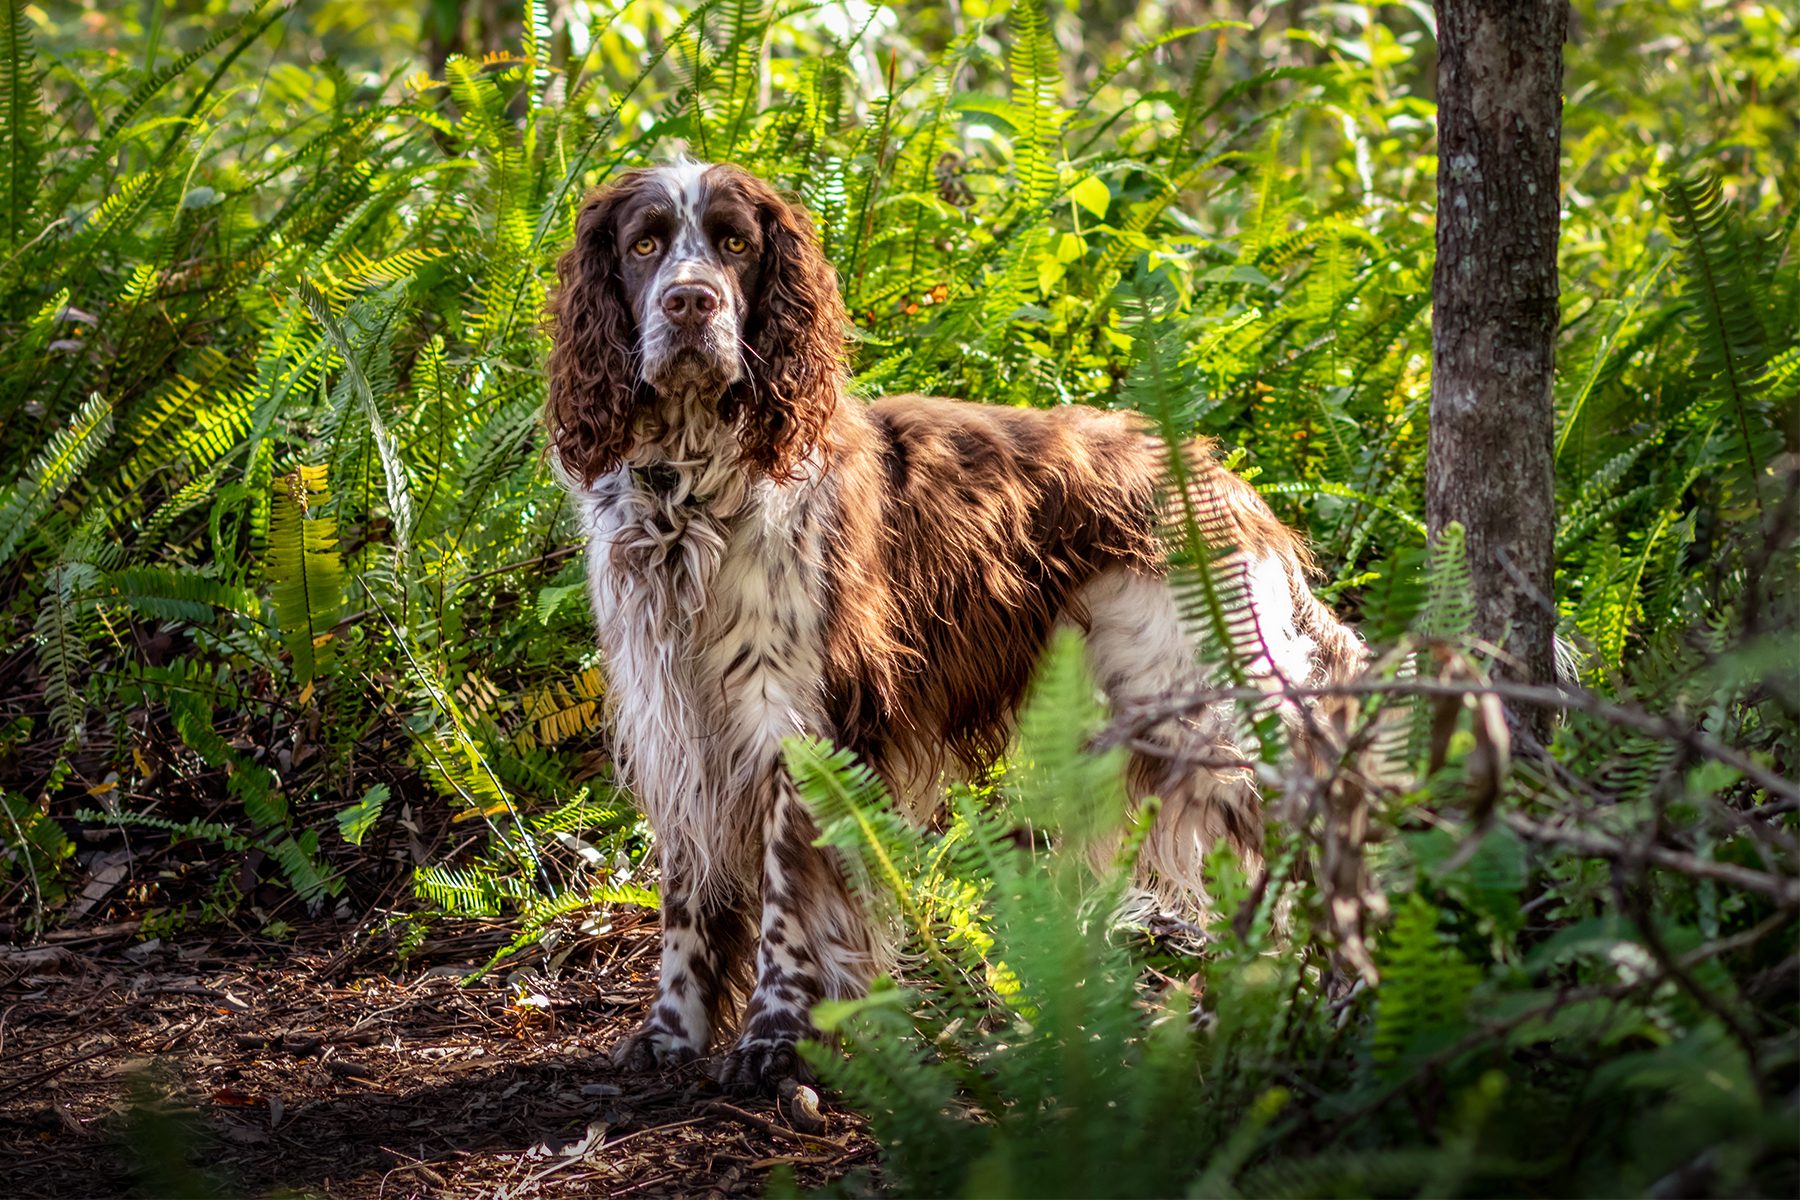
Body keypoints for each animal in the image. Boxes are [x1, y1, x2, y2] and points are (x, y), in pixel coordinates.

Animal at [540, 161, 1353, 1101]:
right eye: (644, 245)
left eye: (735, 242)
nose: (690, 302)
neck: (692, 487)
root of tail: (1225, 481)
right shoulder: (675, 715)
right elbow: (689, 896)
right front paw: (670, 1033)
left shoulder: (798, 722)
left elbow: (788, 897)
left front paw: (776, 1041)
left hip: (1203, 706)